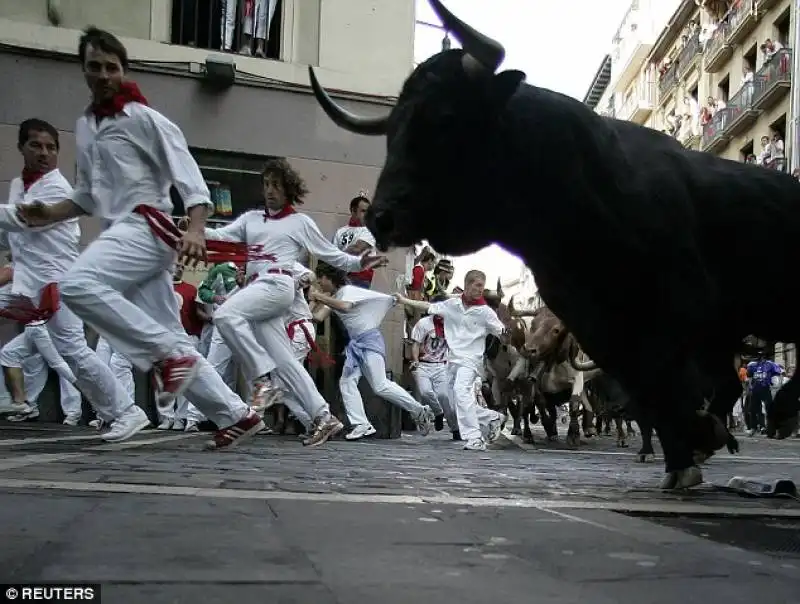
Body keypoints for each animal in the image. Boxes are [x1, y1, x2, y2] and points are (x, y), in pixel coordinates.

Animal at [308, 1, 800, 490]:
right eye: (392, 130)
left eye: (444, 119)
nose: (380, 216)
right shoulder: (604, 327)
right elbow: (653, 391)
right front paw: (686, 452)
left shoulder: (682, 311)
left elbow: (666, 386)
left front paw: (693, 444)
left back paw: (774, 414)